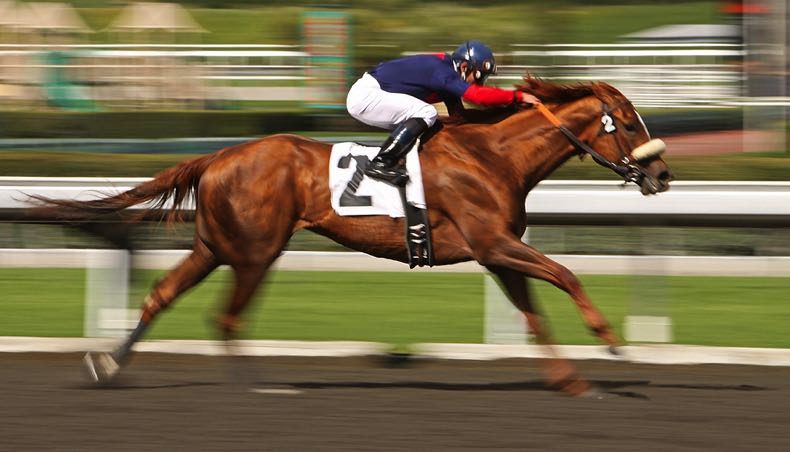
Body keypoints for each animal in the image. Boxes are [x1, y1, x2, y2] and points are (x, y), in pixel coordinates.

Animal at [33, 76, 673, 395]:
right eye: (630, 121)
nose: (663, 174)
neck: (494, 156)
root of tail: (216, 156)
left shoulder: (497, 255)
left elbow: (535, 315)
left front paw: (574, 383)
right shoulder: (494, 244)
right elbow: (566, 273)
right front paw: (611, 341)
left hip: (214, 246)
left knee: (162, 295)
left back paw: (108, 366)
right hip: (255, 251)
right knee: (228, 316)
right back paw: (256, 387)